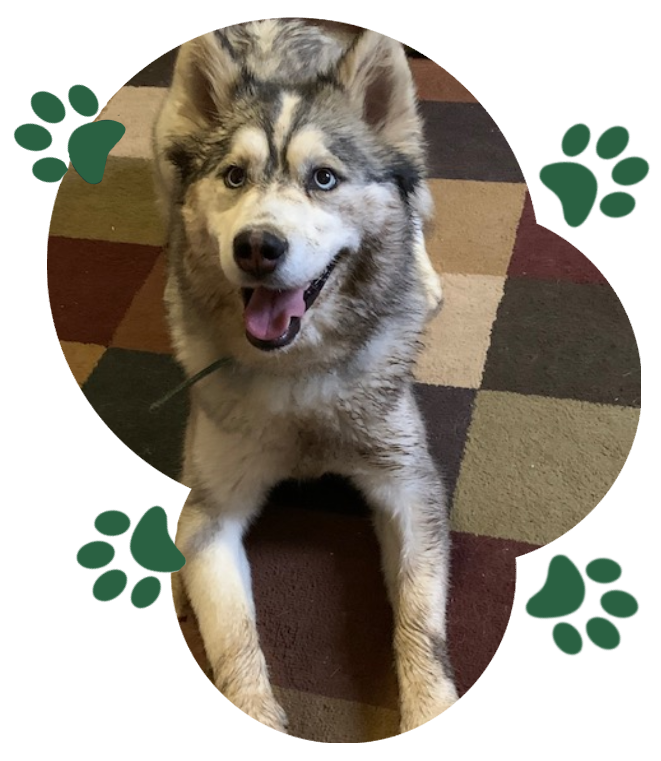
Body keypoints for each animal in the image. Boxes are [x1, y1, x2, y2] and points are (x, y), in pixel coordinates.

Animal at [153, 19, 456, 736]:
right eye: (234, 176)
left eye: (323, 178)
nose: (257, 247)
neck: (299, 378)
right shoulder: (211, 508)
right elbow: (234, 638)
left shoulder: (409, 486)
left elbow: (419, 622)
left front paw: (428, 704)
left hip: (416, 160)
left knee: (415, 207)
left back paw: (422, 276)